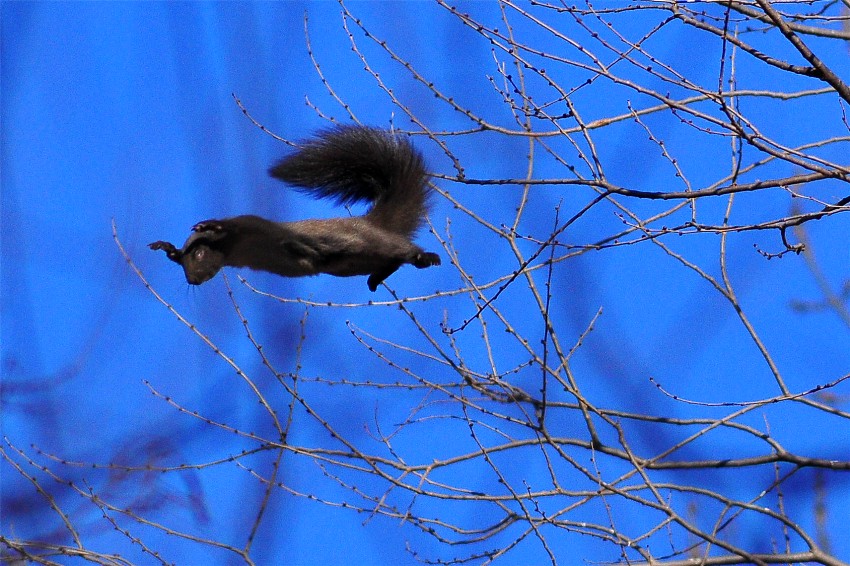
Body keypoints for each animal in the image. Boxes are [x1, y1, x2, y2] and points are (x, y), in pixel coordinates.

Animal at [148, 125, 438, 292]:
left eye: (198, 255)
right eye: (184, 264)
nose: (192, 281)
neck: (236, 249)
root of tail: (372, 222)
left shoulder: (254, 226)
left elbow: (235, 222)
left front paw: (210, 224)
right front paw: (168, 249)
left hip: (367, 244)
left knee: (402, 249)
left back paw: (426, 257)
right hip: (350, 265)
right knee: (392, 261)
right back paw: (376, 279)